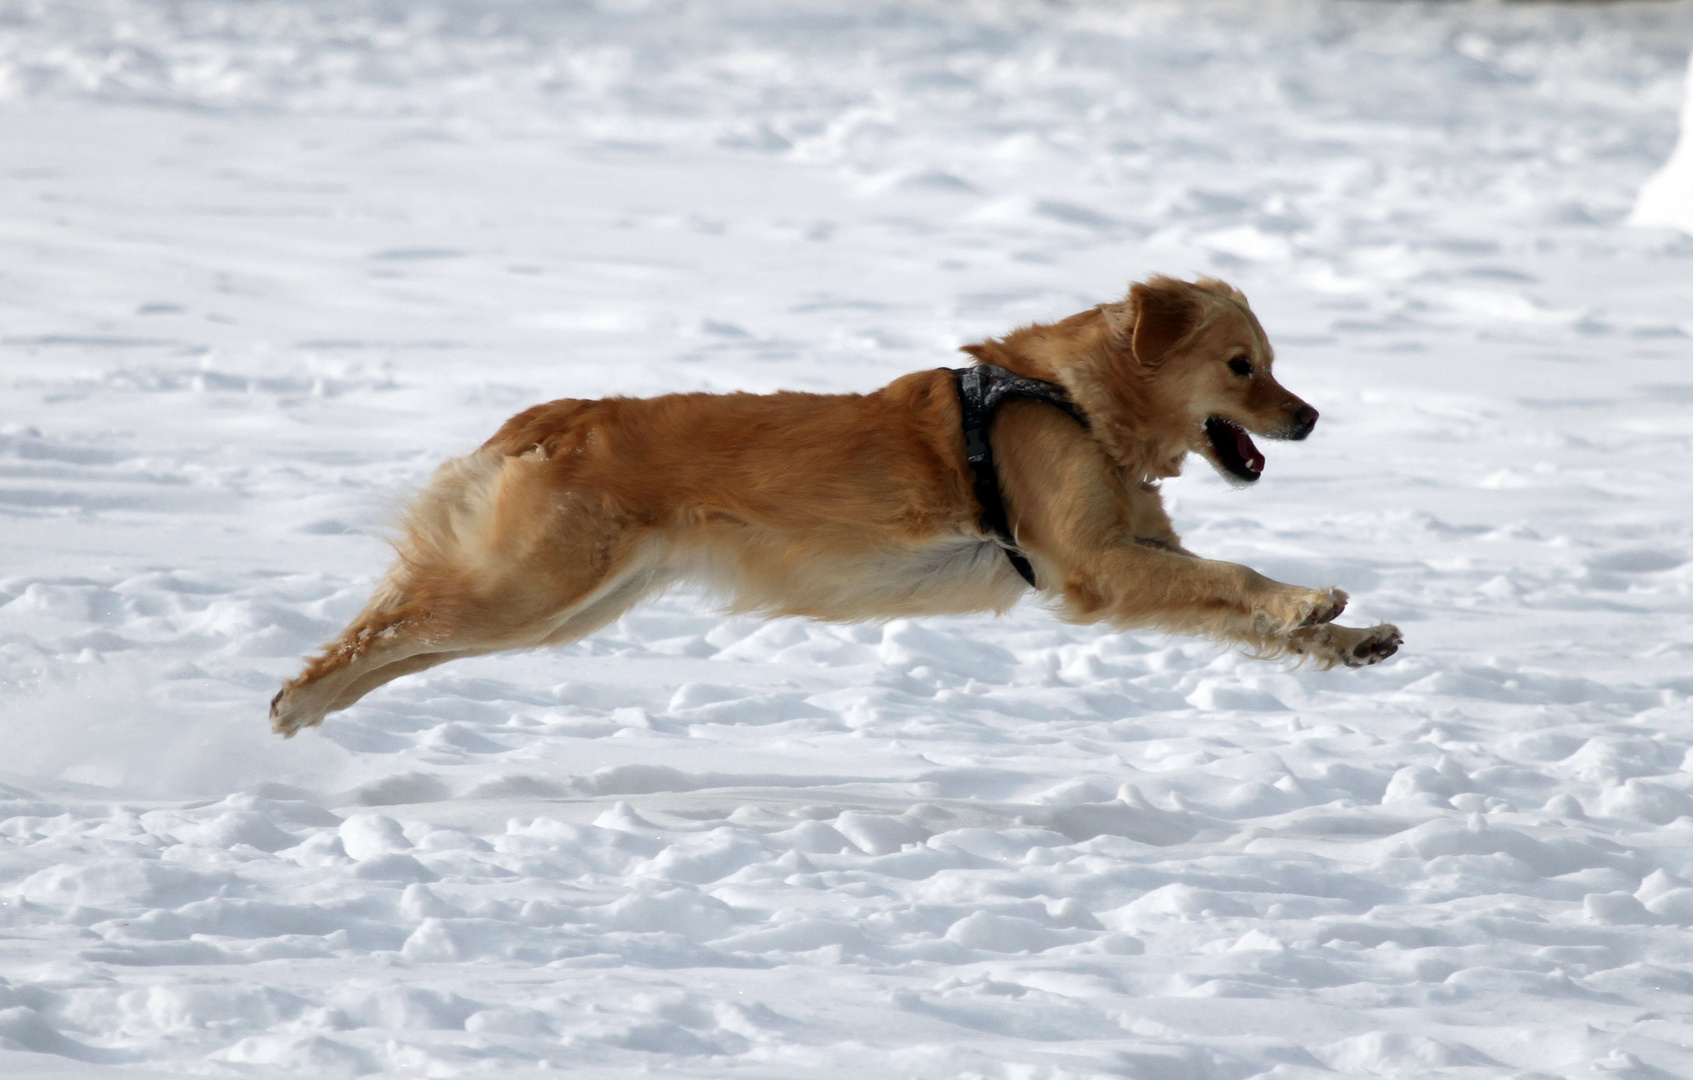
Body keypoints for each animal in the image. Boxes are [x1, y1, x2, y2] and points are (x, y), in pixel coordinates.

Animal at [267, 274, 1401, 741]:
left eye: (1271, 364)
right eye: (1242, 366)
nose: (1307, 416)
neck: (1074, 401)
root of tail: (569, 413)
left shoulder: (1130, 557)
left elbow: (1236, 606)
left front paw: (1353, 639)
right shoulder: (1092, 565)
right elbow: (1236, 578)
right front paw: (1310, 603)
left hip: (563, 605)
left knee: (410, 638)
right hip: (532, 587)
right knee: (386, 624)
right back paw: (296, 702)